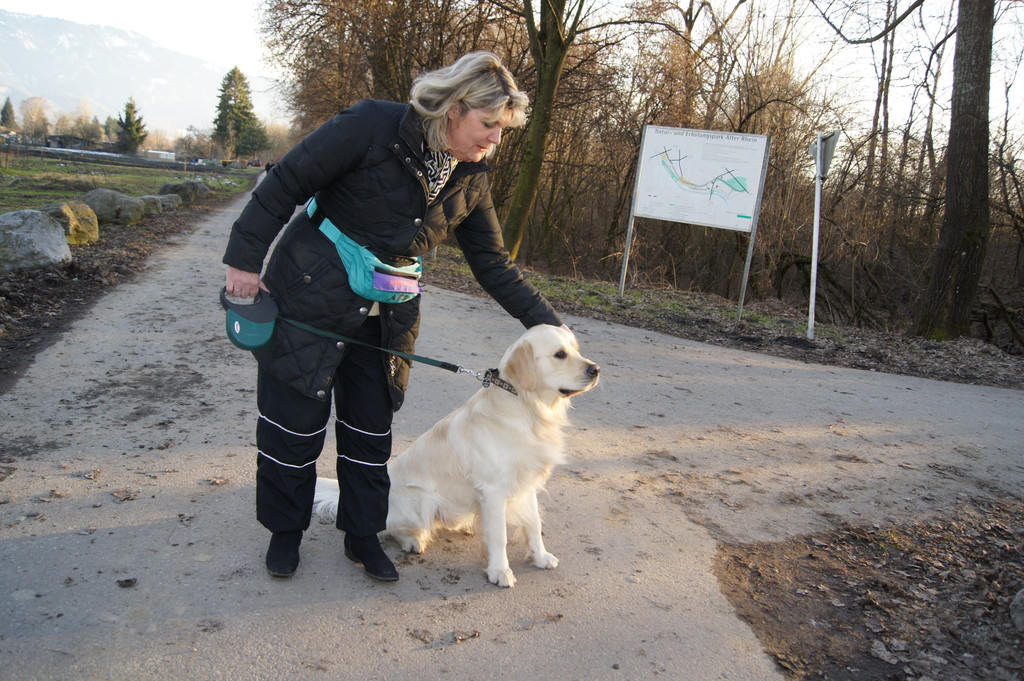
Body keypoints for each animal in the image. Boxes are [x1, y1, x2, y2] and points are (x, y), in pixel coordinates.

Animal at [313, 324, 599, 587]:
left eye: (576, 349)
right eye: (559, 354)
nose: (595, 369)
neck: (528, 409)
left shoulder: (526, 482)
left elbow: (534, 524)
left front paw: (540, 556)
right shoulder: (494, 491)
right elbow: (499, 536)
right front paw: (499, 571)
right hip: (421, 502)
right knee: (390, 527)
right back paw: (412, 540)